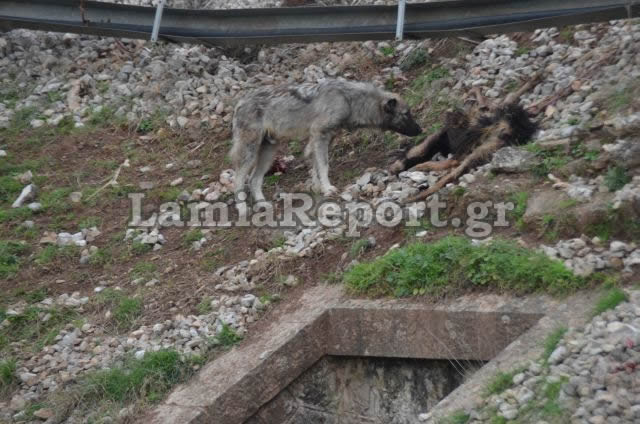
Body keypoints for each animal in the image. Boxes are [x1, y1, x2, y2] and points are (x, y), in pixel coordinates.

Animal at [229, 78, 420, 202]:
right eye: (406, 114)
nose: (421, 130)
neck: (349, 100)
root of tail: (239, 103)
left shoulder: (321, 140)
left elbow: (316, 168)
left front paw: (318, 189)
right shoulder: (319, 136)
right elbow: (324, 166)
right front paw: (328, 188)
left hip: (268, 154)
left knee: (254, 180)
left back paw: (262, 205)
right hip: (250, 153)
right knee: (238, 181)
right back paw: (243, 211)